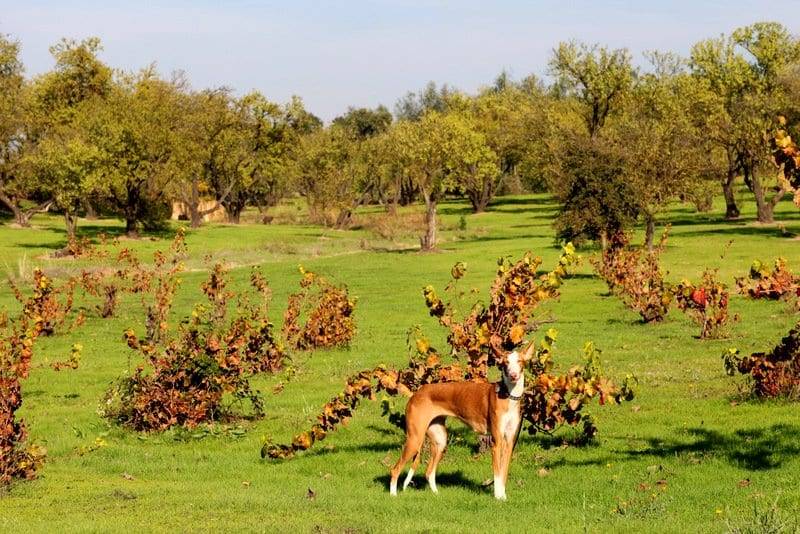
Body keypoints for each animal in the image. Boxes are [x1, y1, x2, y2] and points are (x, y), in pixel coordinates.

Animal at [388, 344, 532, 502]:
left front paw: (503, 497)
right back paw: (393, 495)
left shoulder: (509, 442)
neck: (508, 395)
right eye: (506, 363)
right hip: (415, 439)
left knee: (429, 472)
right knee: (395, 470)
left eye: (519, 361)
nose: (513, 375)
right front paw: (498, 497)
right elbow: (498, 473)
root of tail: (416, 394)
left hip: (440, 440)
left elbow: (504, 473)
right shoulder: (497, 442)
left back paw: (436, 494)